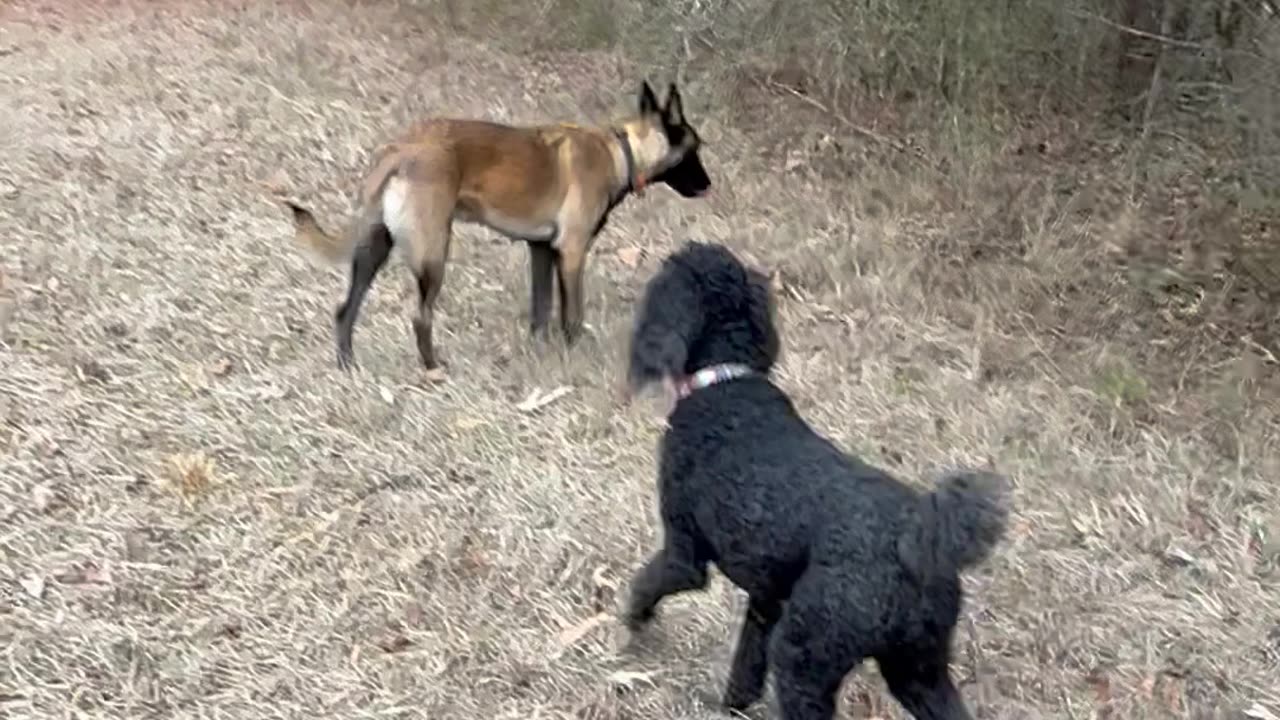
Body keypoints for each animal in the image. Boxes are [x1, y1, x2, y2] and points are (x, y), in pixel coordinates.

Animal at [279, 79, 711, 368]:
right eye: (696, 149)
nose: (708, 185)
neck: (620, 150)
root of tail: (402, 148)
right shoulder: (571, 253)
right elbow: (572, 316)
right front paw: (573, 355)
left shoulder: (541, 251)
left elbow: (541, 311)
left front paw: (539, 352)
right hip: (433, 252)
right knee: (420, 316)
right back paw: (433, 369)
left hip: (374, 249)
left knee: (345, 308)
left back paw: (347, 363)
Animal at [619, 240, 1008, 717]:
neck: (726, 384)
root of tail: (920, 539)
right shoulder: (768, 599)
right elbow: (746, 663)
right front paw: (731, 706)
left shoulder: (684, 553)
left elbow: (648, 582)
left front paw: (633, 621)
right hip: (917, 669)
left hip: (807, 653)